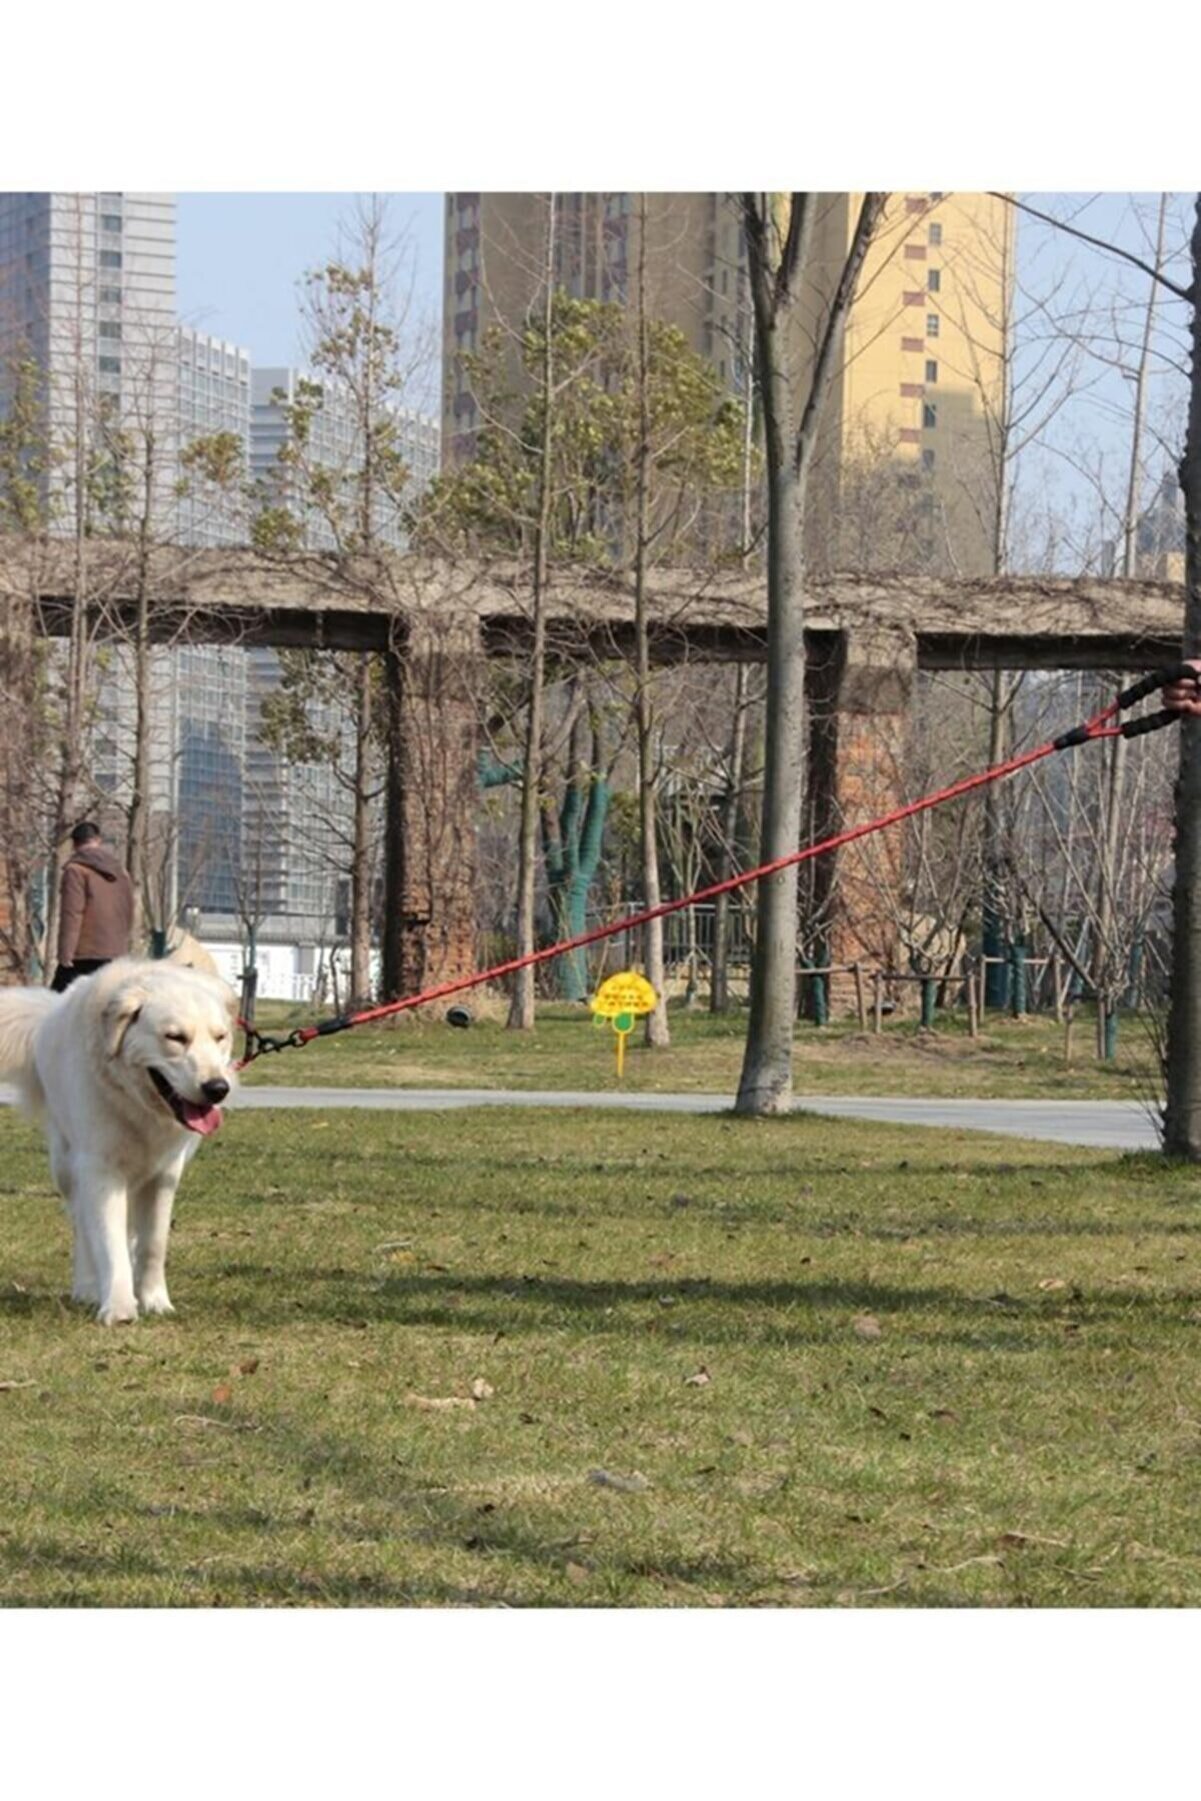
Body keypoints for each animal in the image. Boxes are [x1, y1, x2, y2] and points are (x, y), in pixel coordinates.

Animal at [0, 958, 237, 1325]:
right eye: (175, 1038)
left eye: (220, 1037)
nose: (217, 1088)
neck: (137, 1104)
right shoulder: (101, 1172)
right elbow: (108, 1245)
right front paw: (120, 1307)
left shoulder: (164, 1175)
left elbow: (153, 1244)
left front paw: (155, 1301)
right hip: (66, 1167)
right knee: (83, 1227)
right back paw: (87, 1287)